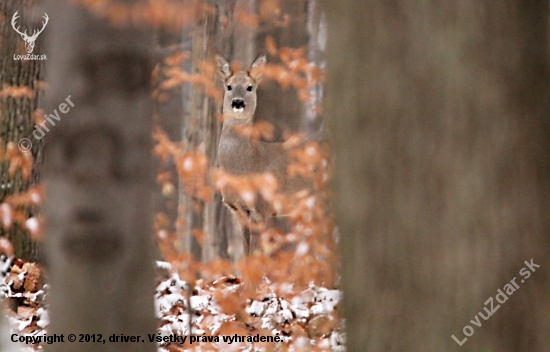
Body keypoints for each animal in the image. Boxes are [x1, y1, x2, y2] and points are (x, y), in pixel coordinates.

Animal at [216, 53, 310, 254]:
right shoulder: (238, 210)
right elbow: (245, 253)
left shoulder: (262, 208)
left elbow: (256, 253)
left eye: (249, 87)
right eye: (229, 86)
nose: (237, 102)